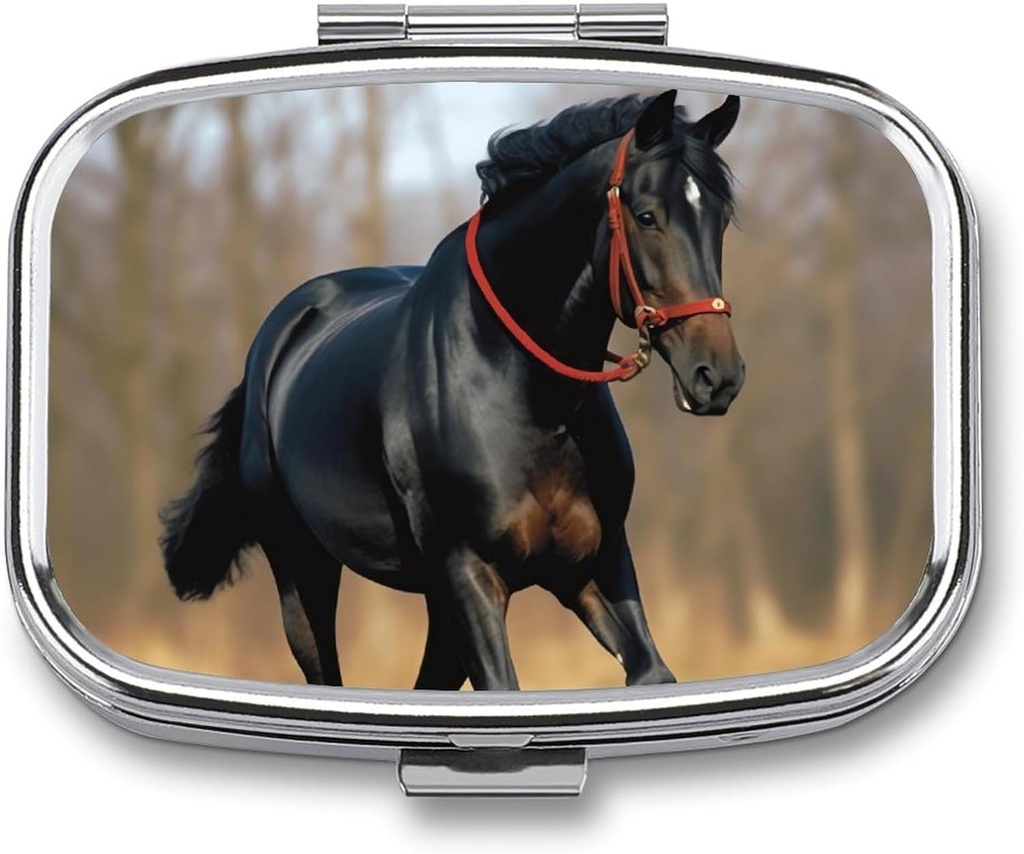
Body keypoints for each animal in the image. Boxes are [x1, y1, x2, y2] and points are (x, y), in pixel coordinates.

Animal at [159, 89, 745, 690]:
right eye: (648, 216)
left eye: (720, 218)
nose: (717, 376)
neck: (529, 399)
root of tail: (272, 345)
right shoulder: (470, 573)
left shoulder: (590, 564)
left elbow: (650, 672)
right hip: (305, 569)